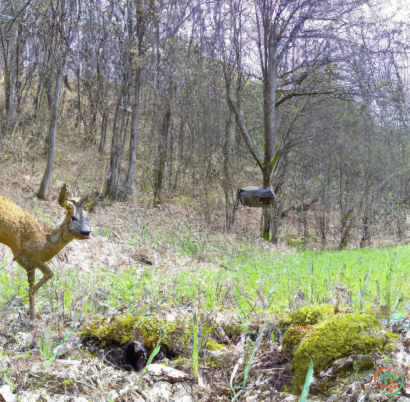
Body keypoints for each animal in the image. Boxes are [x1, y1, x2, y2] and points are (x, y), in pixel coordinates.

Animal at [0, 185, 90, 320]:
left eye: (88, 218)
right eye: (73, 218)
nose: (87, 232)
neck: (46, 245)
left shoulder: (29, 262)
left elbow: (35, 284)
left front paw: (32, 314)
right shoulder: (31, 257)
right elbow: (45, 277)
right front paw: (31, 315)